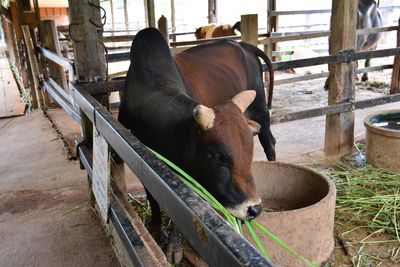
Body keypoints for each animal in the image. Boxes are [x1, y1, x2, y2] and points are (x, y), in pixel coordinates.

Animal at [119, 28, 276, 260]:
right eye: (218, 156)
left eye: (249, 150)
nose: (254, 209)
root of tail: (243, 45)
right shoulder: (140, 156)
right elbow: (152, 196)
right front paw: (155, 228)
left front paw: (174, 247)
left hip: (260, 111)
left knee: (269, 143)